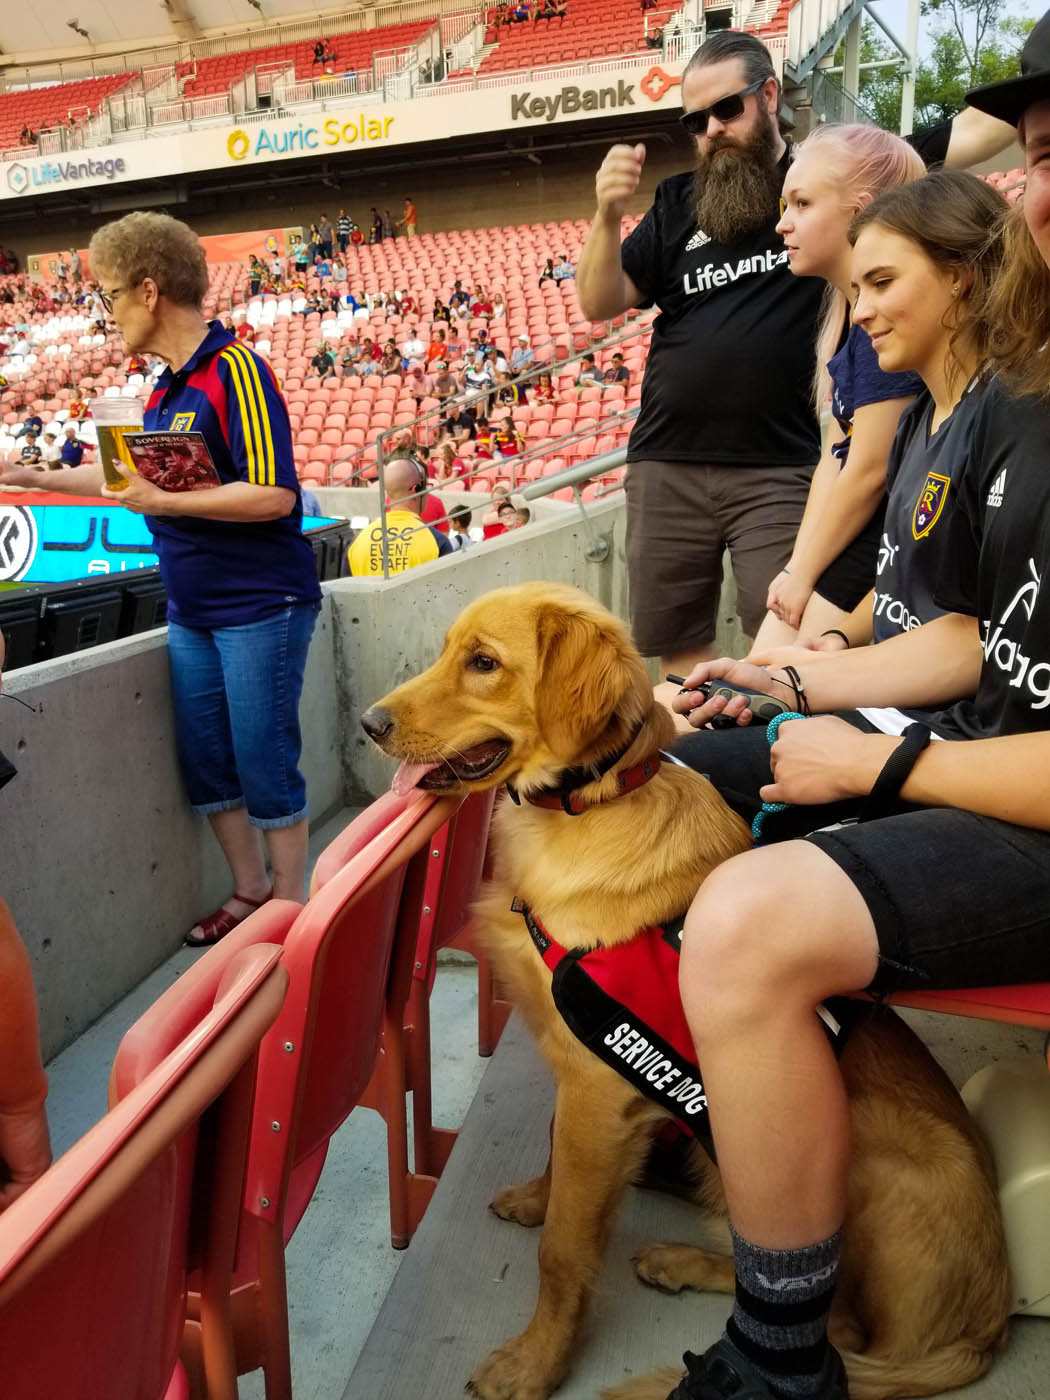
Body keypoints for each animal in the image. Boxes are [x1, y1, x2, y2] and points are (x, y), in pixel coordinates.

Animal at [361, 579, 1013, 1400]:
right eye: (448, 649)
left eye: (484, 663)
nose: (369, 723)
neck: (592, 805)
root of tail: (987, 1327)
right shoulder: (587, 1064)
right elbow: (558, 1162)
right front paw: (539, 1199)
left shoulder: (598, 1080)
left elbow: (563, 1250)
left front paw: (535, 1362)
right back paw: (681, 1260)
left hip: (852, 1152)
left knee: (835, 1330)